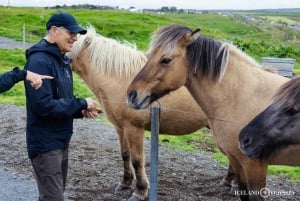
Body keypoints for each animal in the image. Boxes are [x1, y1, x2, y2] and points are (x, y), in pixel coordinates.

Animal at [66, 26, 214, 201]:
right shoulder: (120, 127)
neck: (119, 79)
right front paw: (124, 183)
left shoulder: (134, 128)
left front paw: (140, 191)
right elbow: (125, 154)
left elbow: (137, 160)